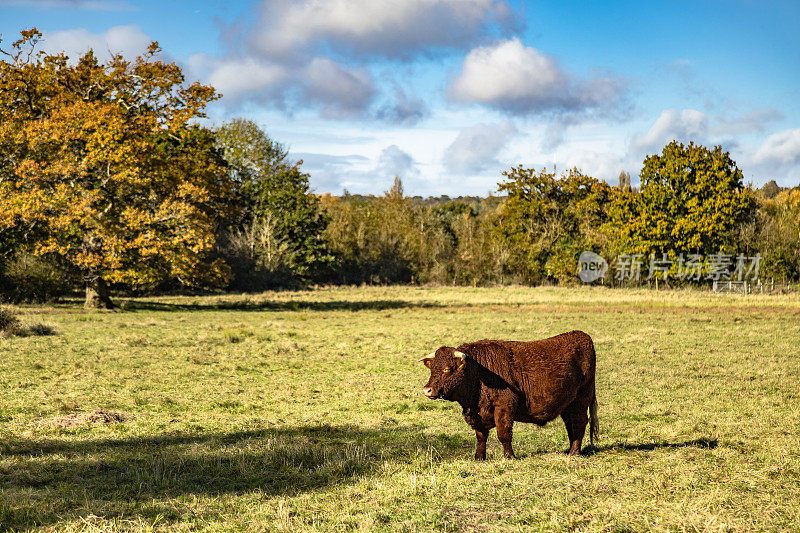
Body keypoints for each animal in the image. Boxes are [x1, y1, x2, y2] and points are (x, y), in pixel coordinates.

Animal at [422, 328, 596, 458]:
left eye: (447, 369)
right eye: (432, 369)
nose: (427, 389)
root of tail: (581, 336)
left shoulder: (504, 406)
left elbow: (503, 433)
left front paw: (509, 456)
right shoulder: (477, 415)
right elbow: (481, 436)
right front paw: (479, 457)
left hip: (581, 399)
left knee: (579, 422)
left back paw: (574, 452)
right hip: (567, 404)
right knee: (570, 425)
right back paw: (570, 450)